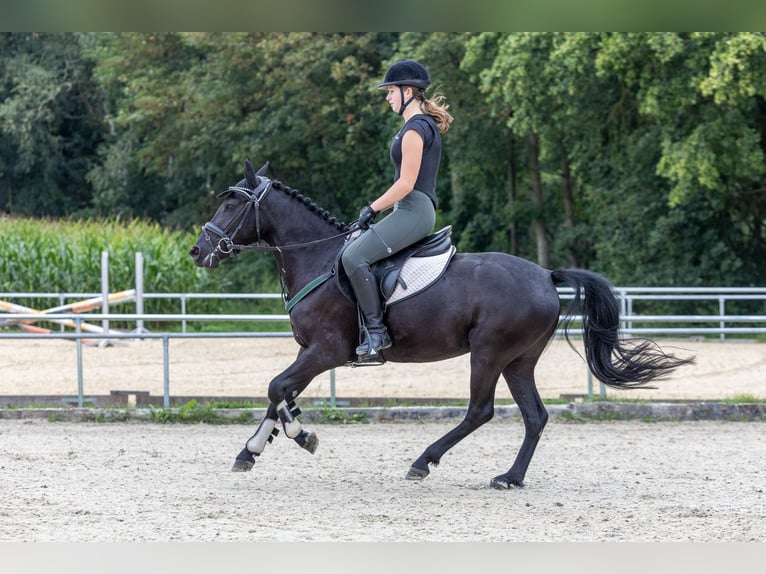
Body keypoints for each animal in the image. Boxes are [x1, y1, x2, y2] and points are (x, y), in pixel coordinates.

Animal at [192, 161, 696, 490]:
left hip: (489, 353)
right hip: (519, 360)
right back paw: (510, 478)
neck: (316, 256)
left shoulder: (327, 351)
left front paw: (299, 438)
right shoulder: (310, 352)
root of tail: (544, 275)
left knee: (480, 411)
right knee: (535, 415)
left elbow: (277, 388)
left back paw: (423, 461)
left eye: (232, 205)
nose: (198, 251)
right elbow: (280, 394)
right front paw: (255, 448)